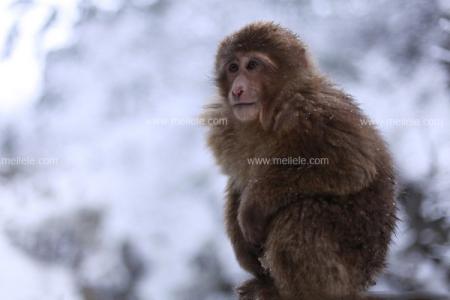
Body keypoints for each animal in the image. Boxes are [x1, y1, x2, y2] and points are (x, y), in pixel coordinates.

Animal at [202, 21, 396, 300]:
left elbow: (351, 167)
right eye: (233, 67)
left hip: (349, 267)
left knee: (301, 217)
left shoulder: (315, 114)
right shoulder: (224, 129)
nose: (237, 89)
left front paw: (252, 208)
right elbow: (237, 182)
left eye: (252, 65)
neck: (267, 114)